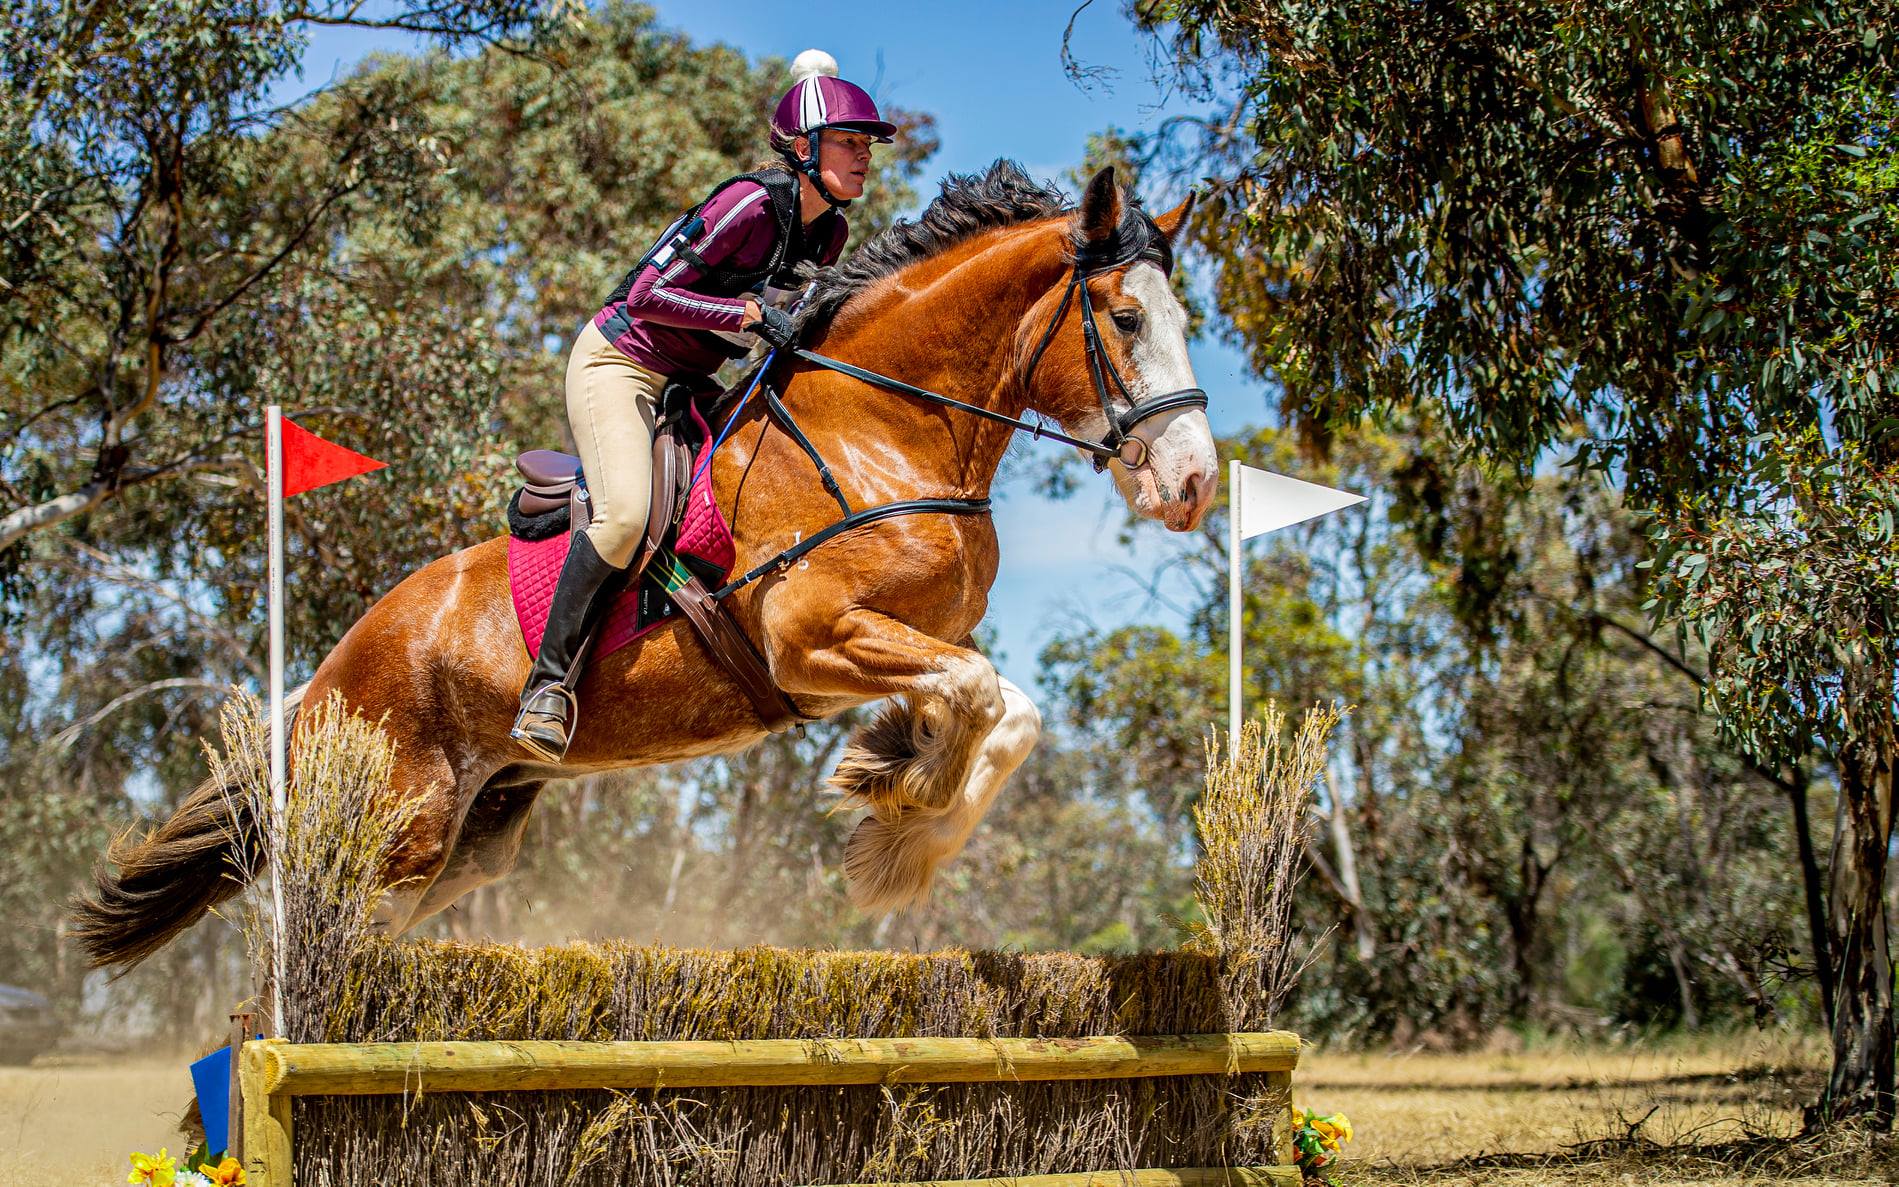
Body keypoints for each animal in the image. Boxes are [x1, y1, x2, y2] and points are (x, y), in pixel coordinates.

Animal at [70, 162, 1215, 968]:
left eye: (1184, 319)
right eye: (1125, 318)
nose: (1197, 482)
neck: (884, 429)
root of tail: (323, 674)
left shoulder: (924, 636)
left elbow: (1006, 711)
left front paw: (893, 802)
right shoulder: (810, 638)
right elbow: (980, 697)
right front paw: (899, 817)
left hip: (470, 835)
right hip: (396, 823)